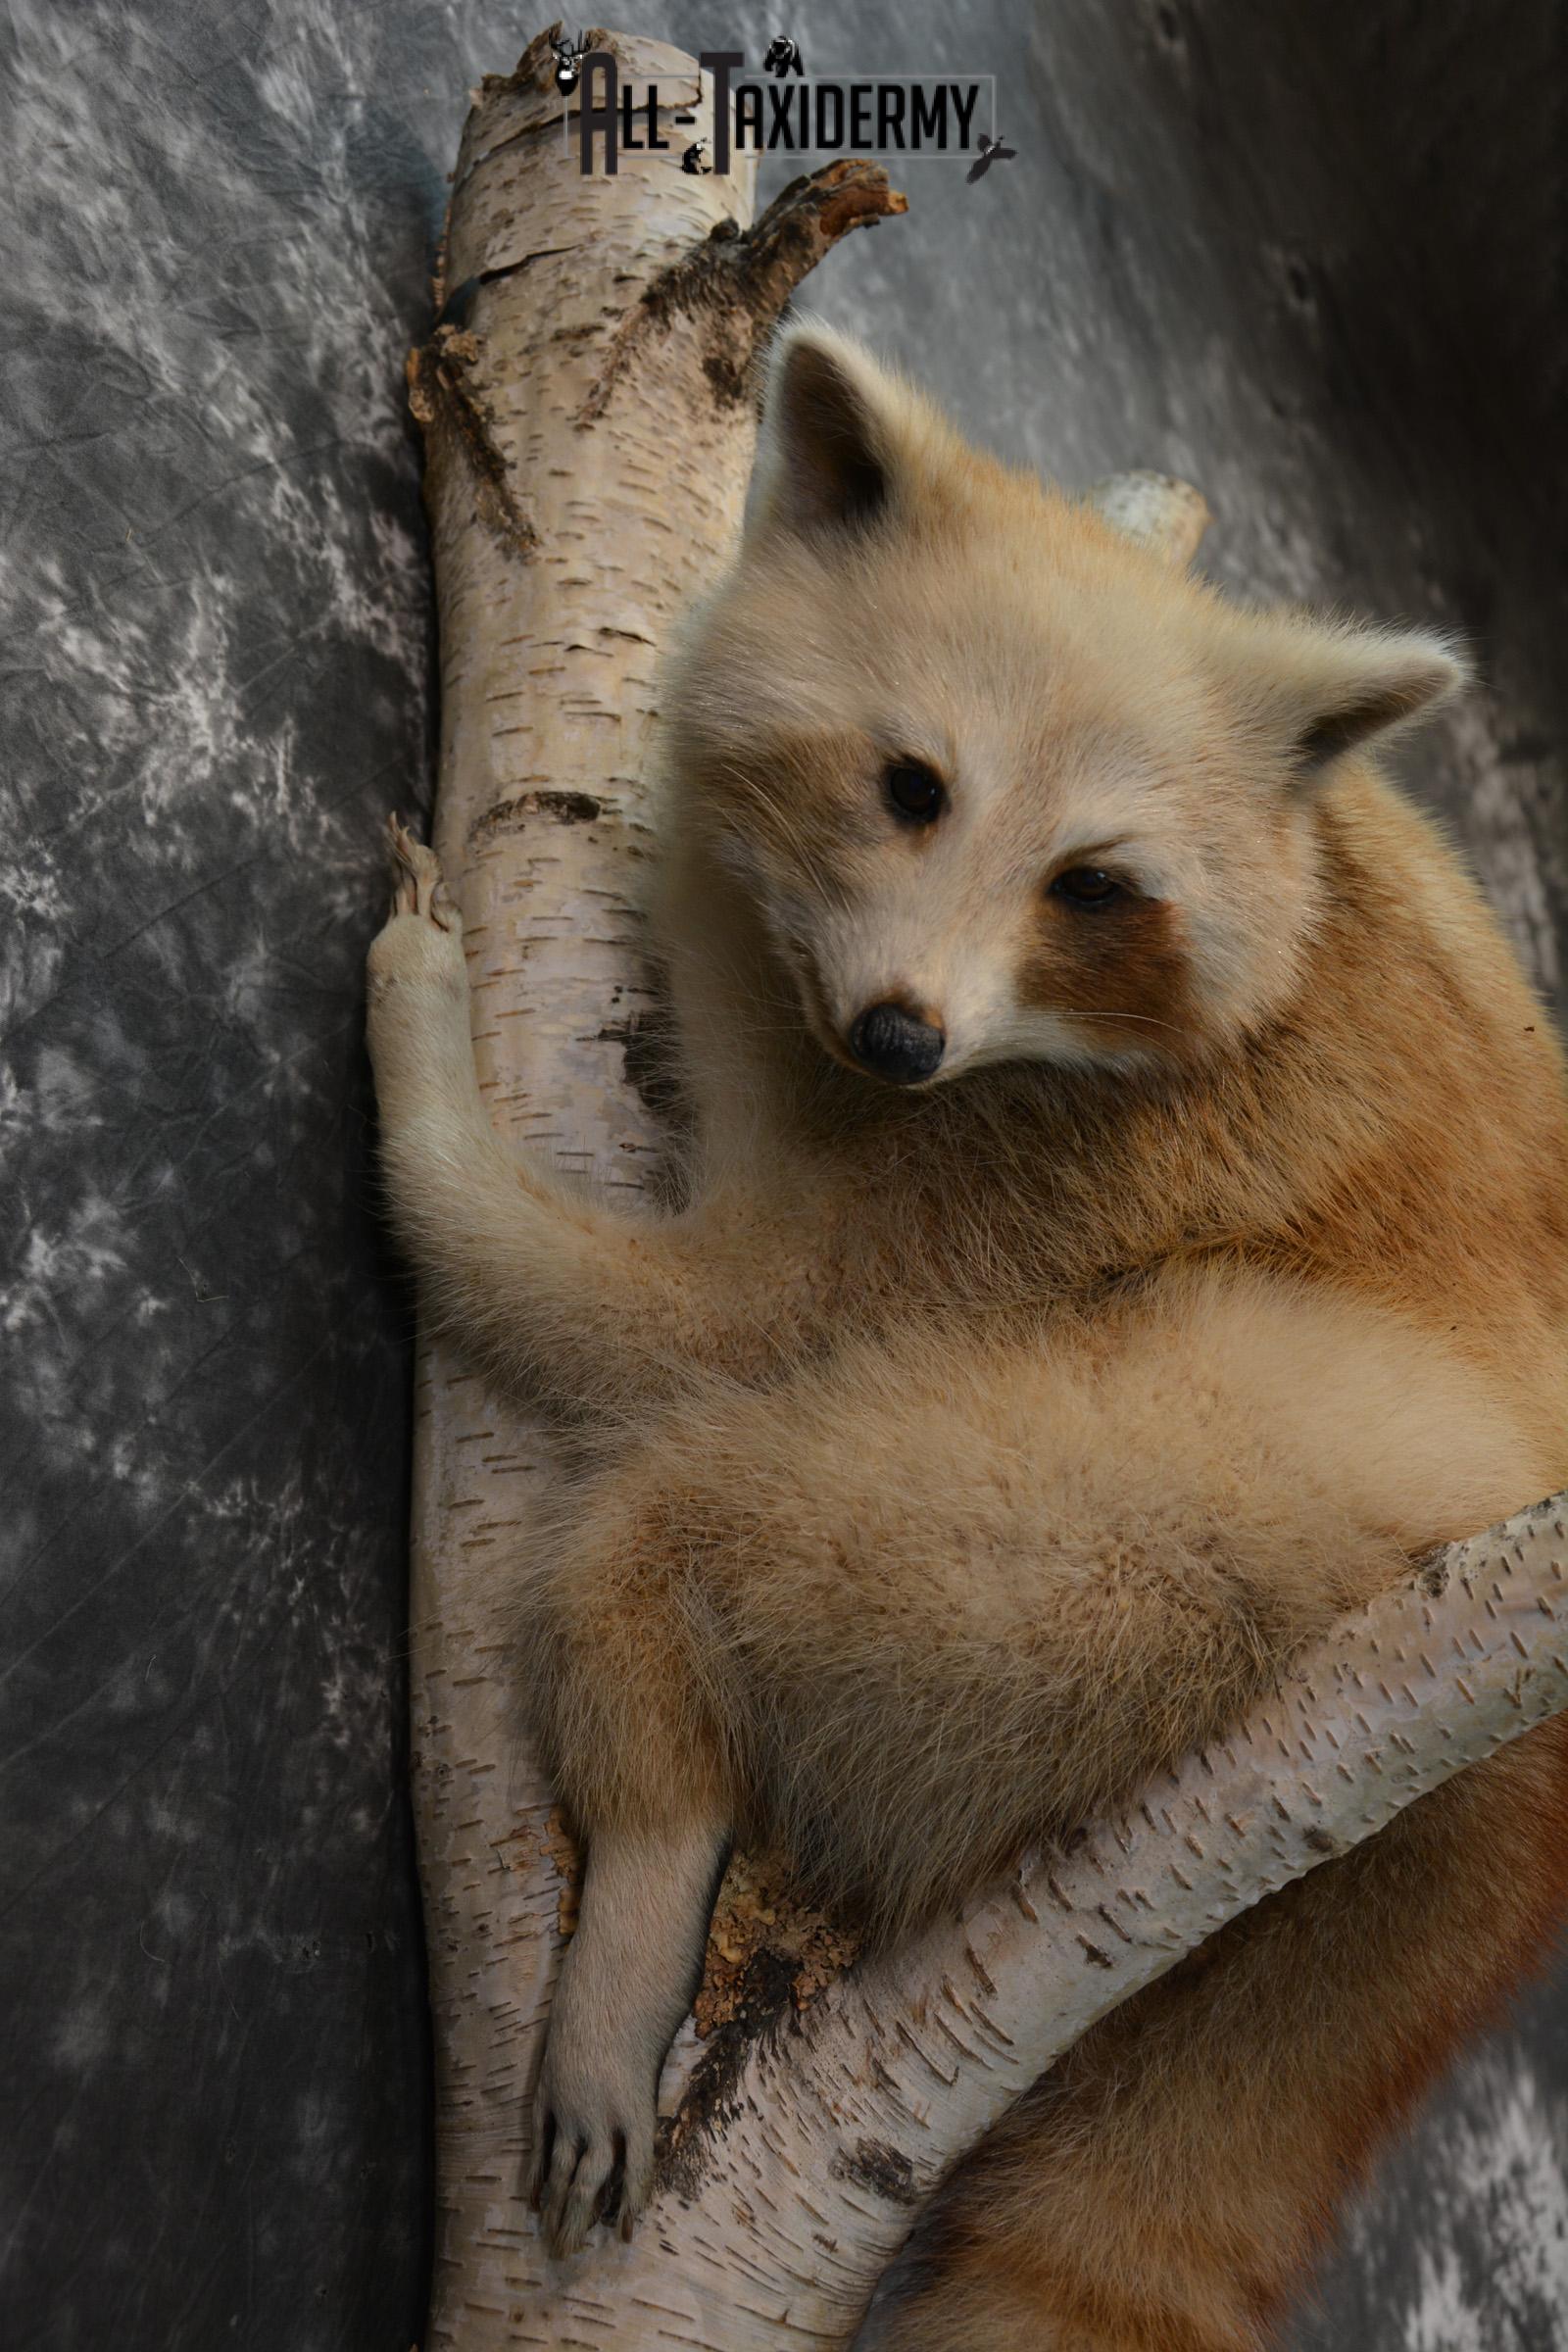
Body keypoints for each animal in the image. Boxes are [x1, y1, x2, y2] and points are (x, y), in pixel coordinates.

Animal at [366, 323, 1568, 2346]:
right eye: (912, 786)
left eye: (1094, 883)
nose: (905, 1037)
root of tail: (1512, 1853)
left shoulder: (1086, 1164)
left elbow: (679, 1331)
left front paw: (423, 1071)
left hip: (1277, 1455)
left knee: (692, 1518)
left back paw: (655, 1817)